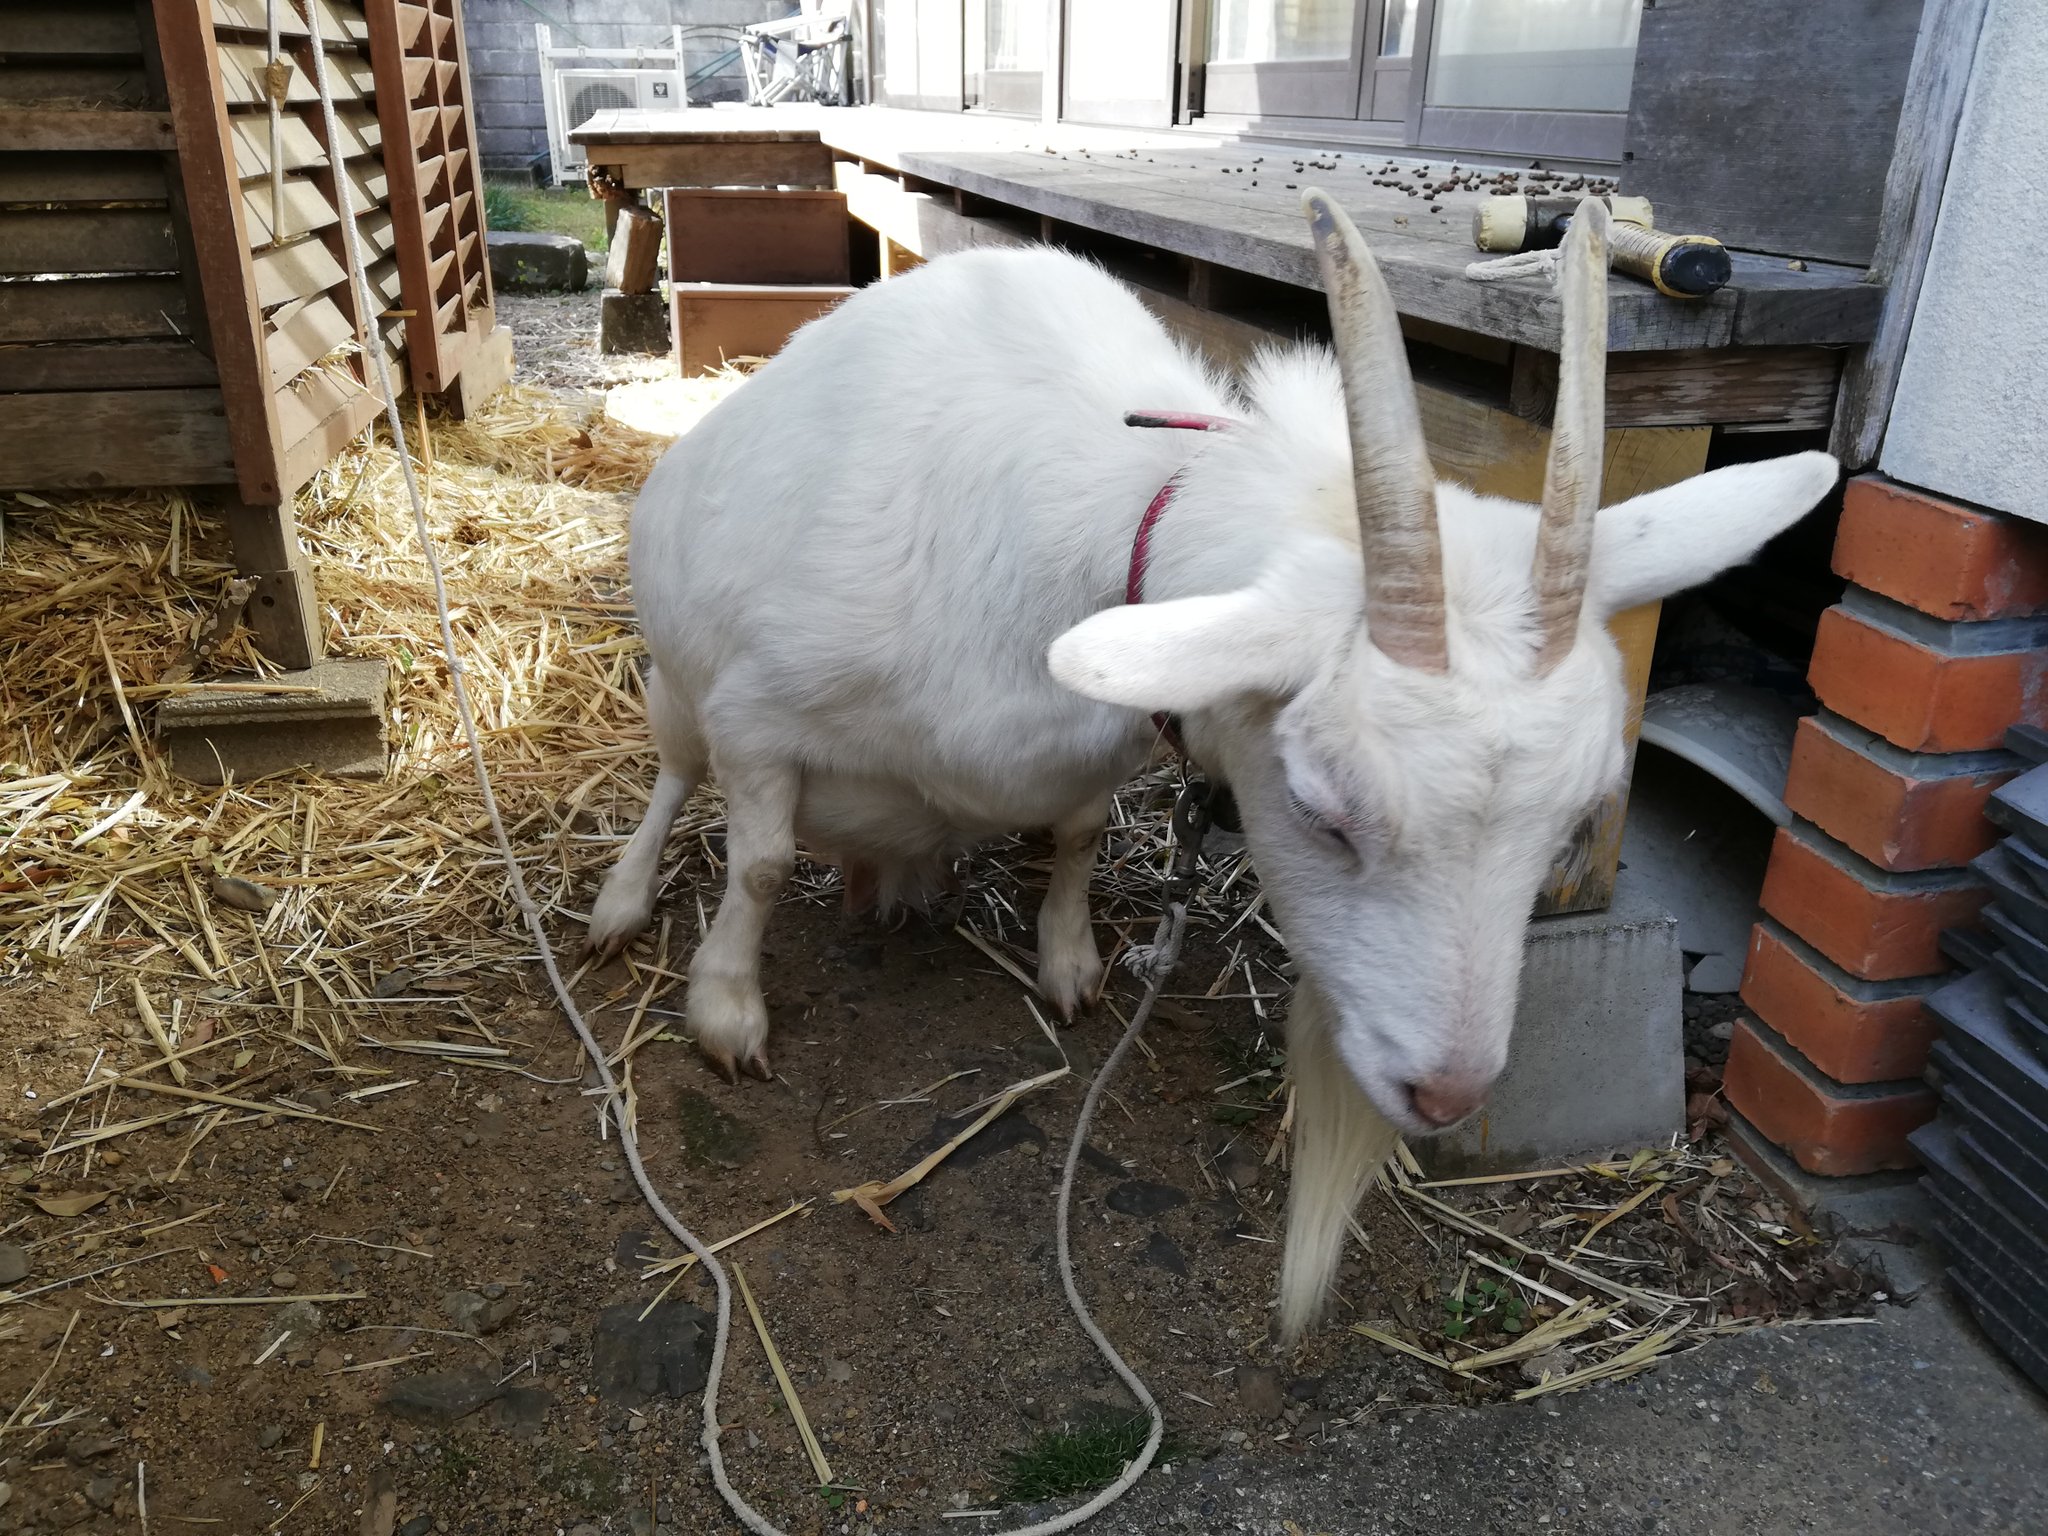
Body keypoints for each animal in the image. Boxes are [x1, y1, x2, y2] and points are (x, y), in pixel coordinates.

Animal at [581, 192, 1843, 1343]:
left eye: (1568, 825)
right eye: (1325, 813)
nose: (1446, 1093)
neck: (1103, 516)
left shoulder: (1092, 746)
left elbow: (1079, 835)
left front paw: (1070, 964)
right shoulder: (757, 715)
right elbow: (755, 862)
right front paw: (726, 1013)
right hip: (677, 693)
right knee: (673, 782)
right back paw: (620, 903)